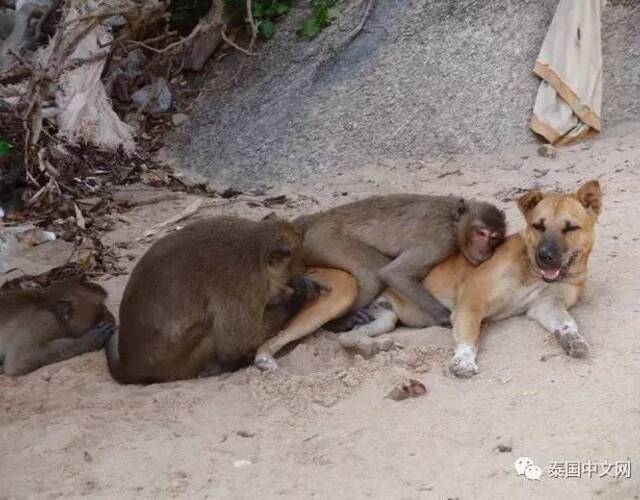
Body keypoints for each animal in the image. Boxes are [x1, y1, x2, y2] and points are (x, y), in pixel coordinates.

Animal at [294, 194, 504, 328]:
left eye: (494, 238)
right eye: (480, 233)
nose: (484, 250)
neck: (454, 221)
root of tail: (314, 219)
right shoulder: (440, 240)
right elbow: (395, 273)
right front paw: (446, 317)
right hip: (324, 239)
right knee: (373, 271)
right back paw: (338, 323)